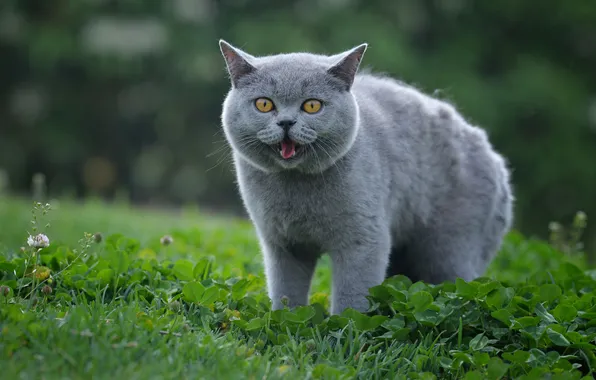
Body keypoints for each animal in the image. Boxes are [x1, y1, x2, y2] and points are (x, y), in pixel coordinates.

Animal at [217, 39, 516, 314]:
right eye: (264, 104)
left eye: (312, 106)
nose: (287, 122)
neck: (296, 188)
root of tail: (496, 161)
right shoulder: (282, 245)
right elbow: (285, 292)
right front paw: (285, 320)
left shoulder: (364, 239)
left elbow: (352, 298)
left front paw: (346, 328)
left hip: (450, 252)